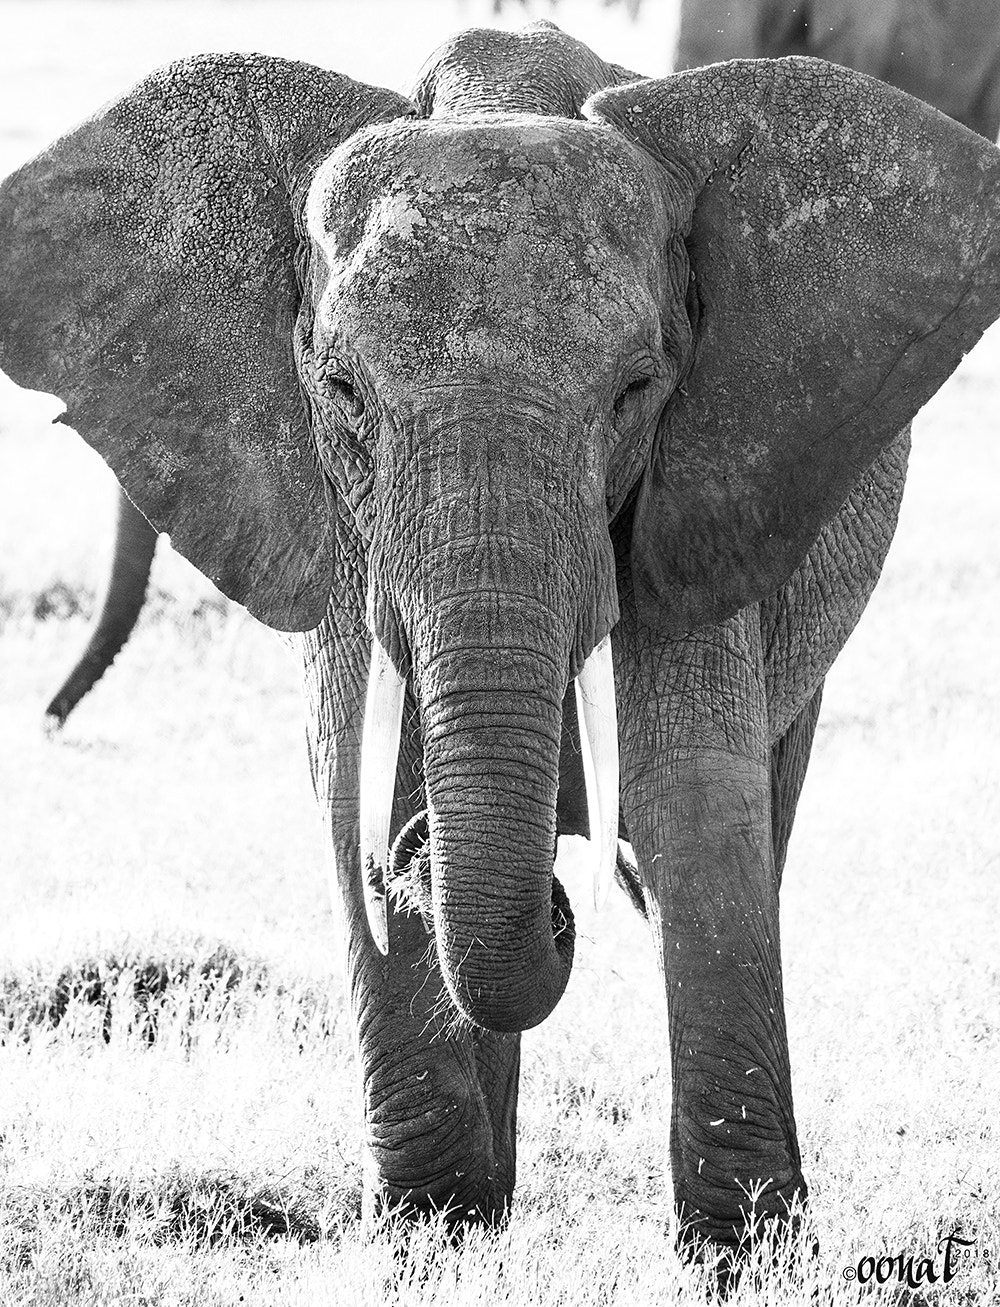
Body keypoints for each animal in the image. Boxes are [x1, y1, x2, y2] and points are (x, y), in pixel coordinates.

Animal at [3, 20, 1000, 1268]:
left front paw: (743, 1252)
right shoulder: (336, 516)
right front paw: (432, 1231)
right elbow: (352, 790)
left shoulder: (702, 473)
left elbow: (689, 798)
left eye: (634, 391)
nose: (430, 862)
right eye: (341, 391)